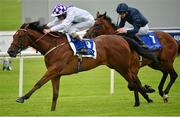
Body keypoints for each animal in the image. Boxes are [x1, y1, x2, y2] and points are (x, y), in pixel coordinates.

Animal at [7, 21, 160, 111]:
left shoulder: (53, 70)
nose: (10, 51)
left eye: (19, 37)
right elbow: (55, 93)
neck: (53, 46)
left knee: (133, 81)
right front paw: (52, 111)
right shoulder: (56, 74)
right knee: (133, 81)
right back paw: (144, 97)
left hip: (122, 66)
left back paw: (146, 96)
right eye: (13, 36)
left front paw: (22, 98)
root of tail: (122, 38)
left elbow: (38, 83)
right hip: (118, 66)